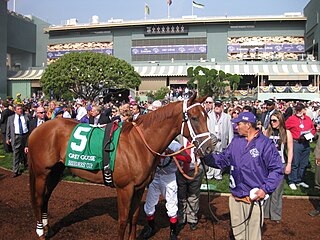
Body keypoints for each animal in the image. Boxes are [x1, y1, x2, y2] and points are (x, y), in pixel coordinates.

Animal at [27, 93, 212, 238]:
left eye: (207, 117)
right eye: (194, 118)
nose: (210, 146)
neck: (139, 143)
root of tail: (38, 129)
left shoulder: (139, 188)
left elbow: (134, 217)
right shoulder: (125, 189)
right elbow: (123, 221)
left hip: (56, 171)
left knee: (46, 197)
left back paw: (48, 229)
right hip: (41, 173)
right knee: (38, 199)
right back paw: (40, 232)